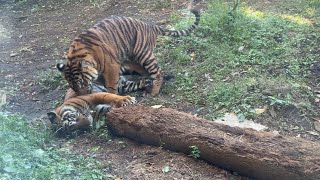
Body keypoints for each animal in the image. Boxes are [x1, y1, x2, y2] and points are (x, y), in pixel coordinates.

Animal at [56, 8, 199, 97]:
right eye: (72, 86)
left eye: (81, 83)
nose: (83, 96)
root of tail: (150, 26)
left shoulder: (111, 67)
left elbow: (111, 86)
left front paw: (111, 97)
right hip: (132, 60)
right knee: (147, 73)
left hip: (144, 54)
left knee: (158, 72)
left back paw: (154, 92)